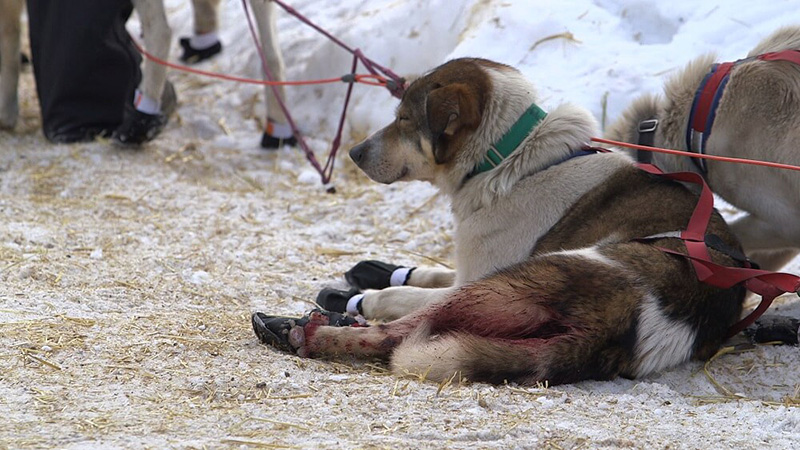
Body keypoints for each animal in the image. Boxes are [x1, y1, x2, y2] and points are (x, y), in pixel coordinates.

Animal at [253, 58, 748, 384]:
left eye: (405, 119)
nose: (354, 153)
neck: (509, 159)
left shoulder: (477, 275)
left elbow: (400, 295)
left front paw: (361, 294)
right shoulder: (472, 262)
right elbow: (429, 271)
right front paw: (380, 270)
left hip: (505, 287)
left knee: (398, 330)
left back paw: (301, 328)